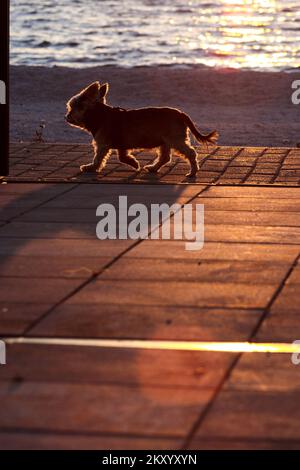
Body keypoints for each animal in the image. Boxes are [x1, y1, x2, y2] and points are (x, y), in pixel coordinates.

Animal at [65, 81, 219, 176]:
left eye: (72, 108)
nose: (66, 117)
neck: (99, 114)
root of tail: (181, 114)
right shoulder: (122, 144)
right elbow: (122, 156)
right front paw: (133, 162)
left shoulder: (103, 144)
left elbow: (98, 158)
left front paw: (90, 167)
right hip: (165, 141)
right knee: (165, 157)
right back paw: (153, 168)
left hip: (175, 140)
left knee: (190, 153)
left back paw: (192, 172)